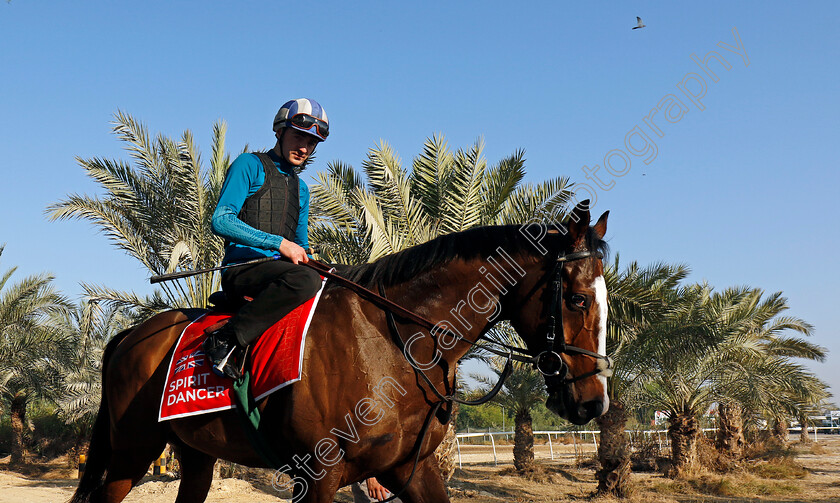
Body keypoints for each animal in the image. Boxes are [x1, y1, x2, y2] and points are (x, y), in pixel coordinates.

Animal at [72, 203, 612, 502]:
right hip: (131, 452)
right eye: (579, 299)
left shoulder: (409, 470)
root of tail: (129, 336)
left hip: (196, 455)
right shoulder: (316, 476)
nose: (594, 401)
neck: (395, 344)